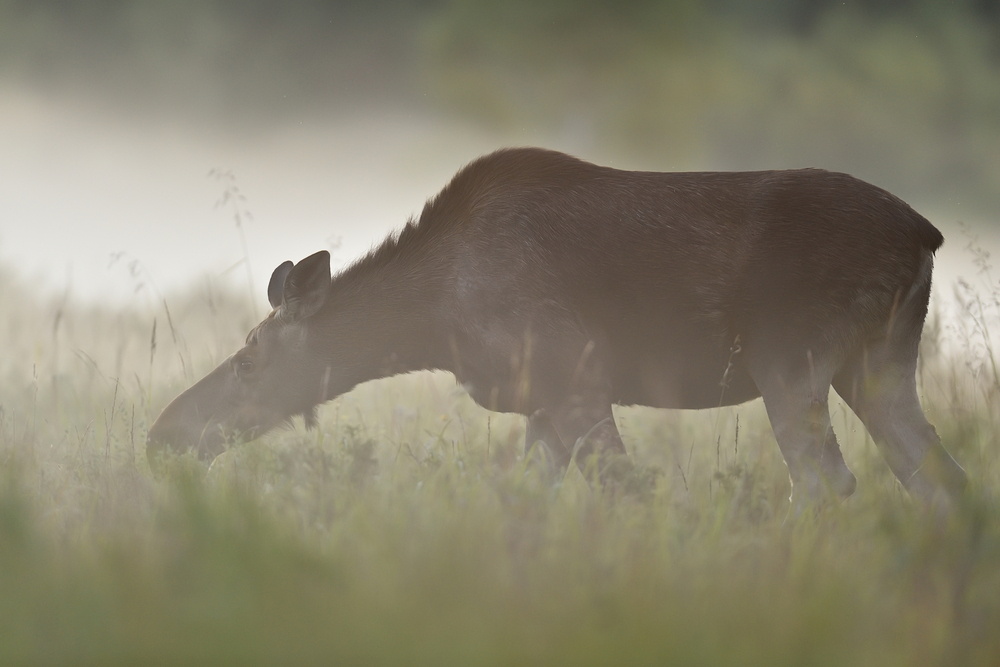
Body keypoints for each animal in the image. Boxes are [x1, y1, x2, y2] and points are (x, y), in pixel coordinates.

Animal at [148, 149, 968, 508]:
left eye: (249, 358)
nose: (163, 432)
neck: (431, 322)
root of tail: (926, 235)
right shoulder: (540, 404)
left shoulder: (575, 378)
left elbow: (627, 492)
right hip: (878, 365)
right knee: (939, 477)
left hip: (789, 359)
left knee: (829, 481)